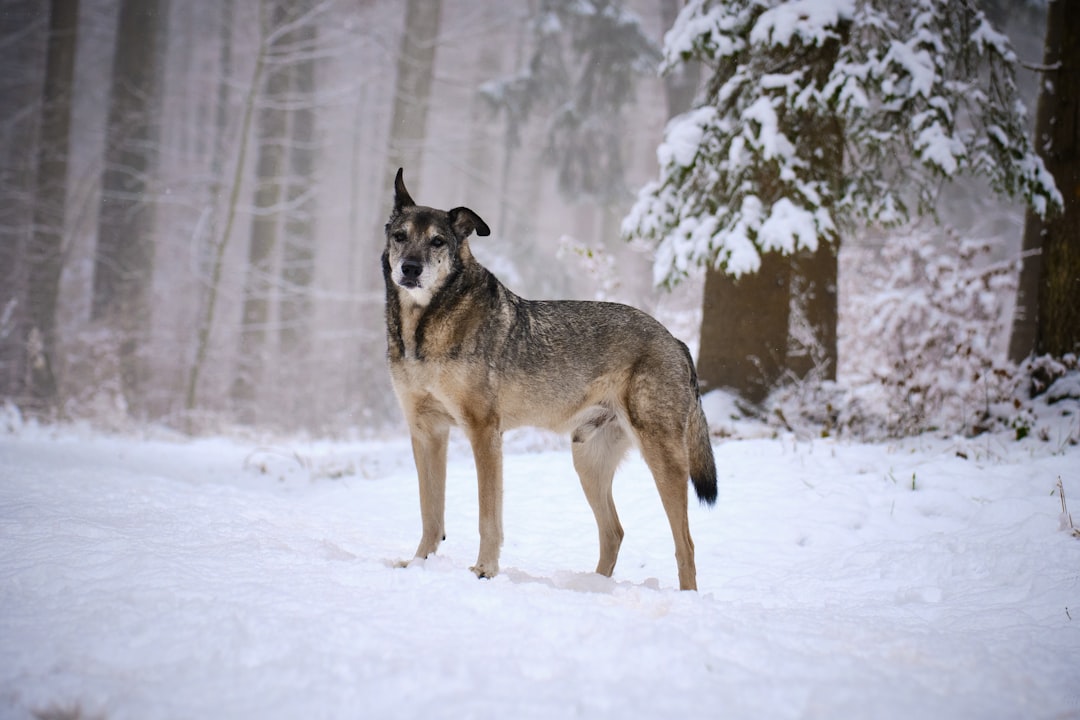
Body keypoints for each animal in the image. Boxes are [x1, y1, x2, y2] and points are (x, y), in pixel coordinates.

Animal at [382, 169, 717, 591]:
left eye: (437, 241)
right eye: (400, 236)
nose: (410, 268)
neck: (424, 327)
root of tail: (676, 340)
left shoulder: (483, 432)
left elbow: (487, 517)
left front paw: (485, 571)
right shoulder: (426, 432)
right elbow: (431, 514)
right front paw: (418, 565)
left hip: (662, 459)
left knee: (685, 544)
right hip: (587, 462)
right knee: (614, 532)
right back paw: (592, 588)